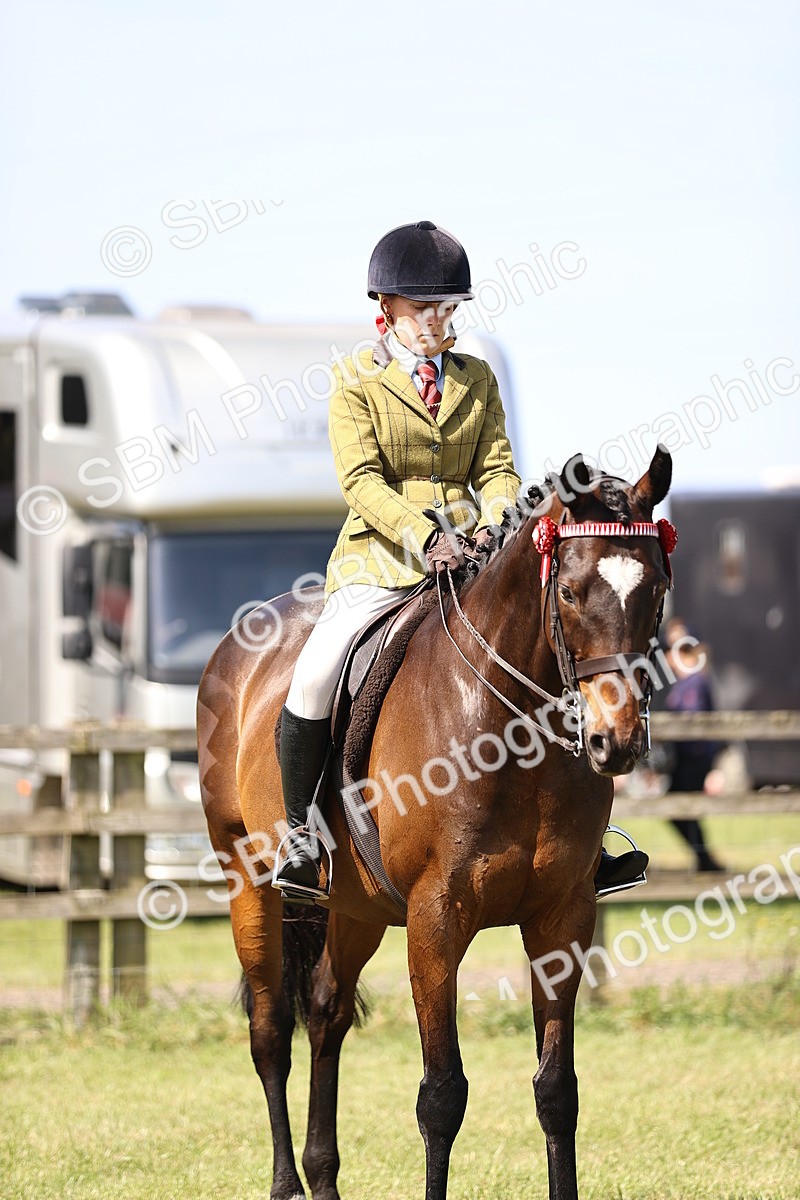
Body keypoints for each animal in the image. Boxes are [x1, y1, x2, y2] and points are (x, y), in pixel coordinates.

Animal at [197, 445, 674, 1200]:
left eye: (654, 589)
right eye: (569, 592)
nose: (617, 740)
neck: (506, 726)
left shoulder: (562, 918)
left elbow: (557, 1090)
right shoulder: (436, 919)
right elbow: (442, 1095)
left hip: (355, 905)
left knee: (326, 1011)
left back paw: (323, 1176)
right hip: (247, 877)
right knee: (271, 1029)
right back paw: (287, 1184)